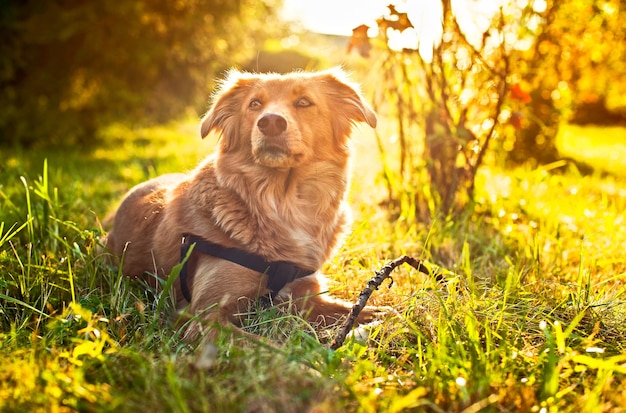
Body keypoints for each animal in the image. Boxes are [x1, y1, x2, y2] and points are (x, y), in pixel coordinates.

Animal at [103, 69, 378, 342]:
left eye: (304, 102)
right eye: (254, 104)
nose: (270, 122)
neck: (282, 204)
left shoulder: (305, 296)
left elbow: (361, 309)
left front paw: (377, 321)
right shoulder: (204, 318)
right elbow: (269, 348)